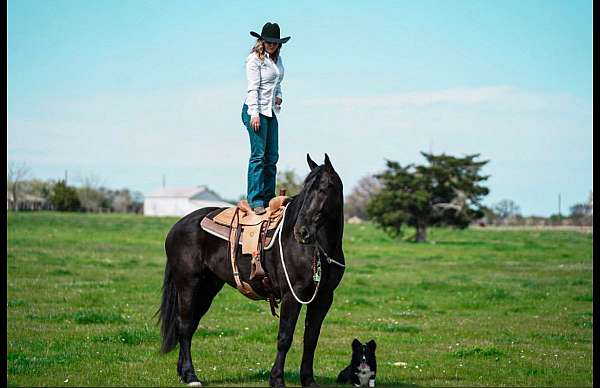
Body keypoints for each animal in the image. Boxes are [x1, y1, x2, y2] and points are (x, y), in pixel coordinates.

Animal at [158, 153, 346, 386]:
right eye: (305, 189)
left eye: (323, 188)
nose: (301, 232)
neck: (317, 249)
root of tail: (177, 226)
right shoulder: (293, 295)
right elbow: (285, 338)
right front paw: (277, 379)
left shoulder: (323, 298)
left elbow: (311, 339)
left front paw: (308, 380)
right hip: (188, 285)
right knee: (184, 326)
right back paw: (192, 376)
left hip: (208, 288)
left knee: (189, 326)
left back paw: (183, 373)